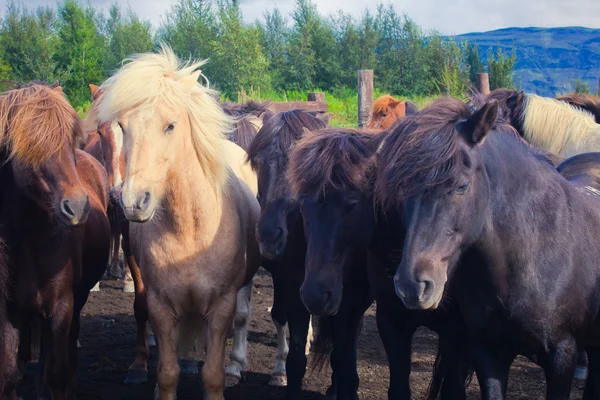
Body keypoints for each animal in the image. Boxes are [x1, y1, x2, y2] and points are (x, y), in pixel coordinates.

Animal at [0, 82, 110, 400]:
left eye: (70, 141)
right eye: (29, 146)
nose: (78, 206)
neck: (29, 239)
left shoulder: (62, 305)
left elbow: (57, 372)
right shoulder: (7, 310)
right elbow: (8, 374)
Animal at [95, 45, 262, 398]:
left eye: (170, 126)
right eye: (123, 126)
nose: (133, 201)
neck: (190, 230)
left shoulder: (221, 307)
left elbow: (212, 373)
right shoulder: (161, 306)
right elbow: (167, 373)